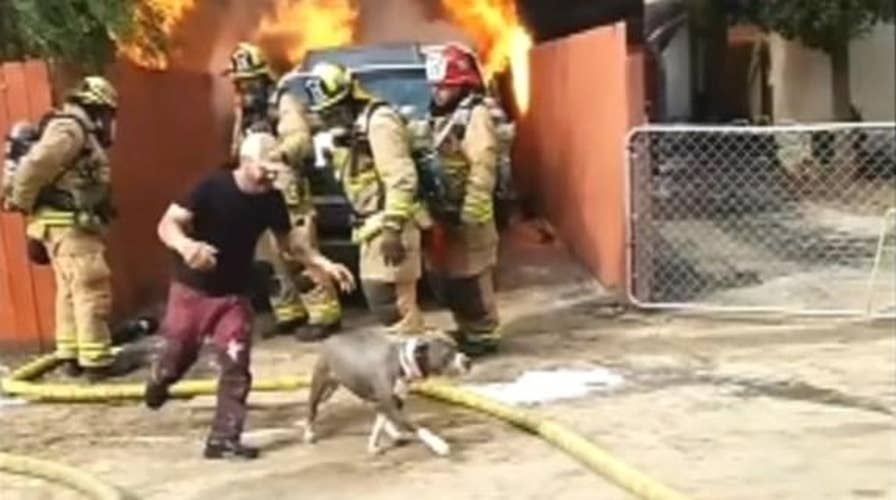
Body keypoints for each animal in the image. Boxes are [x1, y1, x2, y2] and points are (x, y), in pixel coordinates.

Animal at [302, 330, 472, 456]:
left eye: (457, 347)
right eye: (447, 355)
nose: (468, 361)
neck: (402, 363)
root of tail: (328, 340)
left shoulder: (394, 403)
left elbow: (379, 424)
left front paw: (373, 445)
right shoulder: (392, 406)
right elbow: (416, 426)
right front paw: (438, 444)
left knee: (379, 413)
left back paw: (394, 433)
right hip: (319, 385)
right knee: (312, 410)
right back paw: (308, 433)